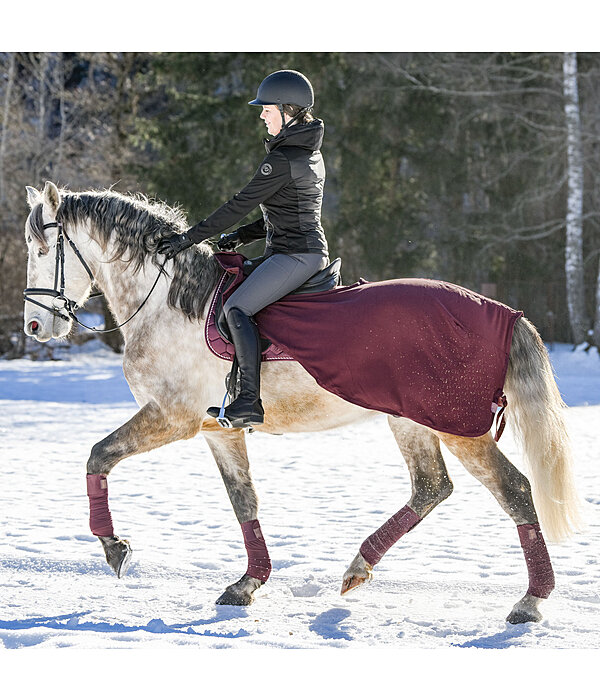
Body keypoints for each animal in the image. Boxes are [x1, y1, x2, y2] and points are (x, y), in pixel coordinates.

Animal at [22, 180, 580, 624]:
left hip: (457, 425)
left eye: (42, 247)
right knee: (431, 488)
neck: (167, 302)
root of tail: (501, 312)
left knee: (514, 490)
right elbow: (244, 501)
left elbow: (99, 456)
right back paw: (359, 567)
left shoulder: (171, 417)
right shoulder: (217, 430)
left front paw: (114, 548)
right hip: (411, 420)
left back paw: (530, 601)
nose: (34, 327)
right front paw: (247, 584)